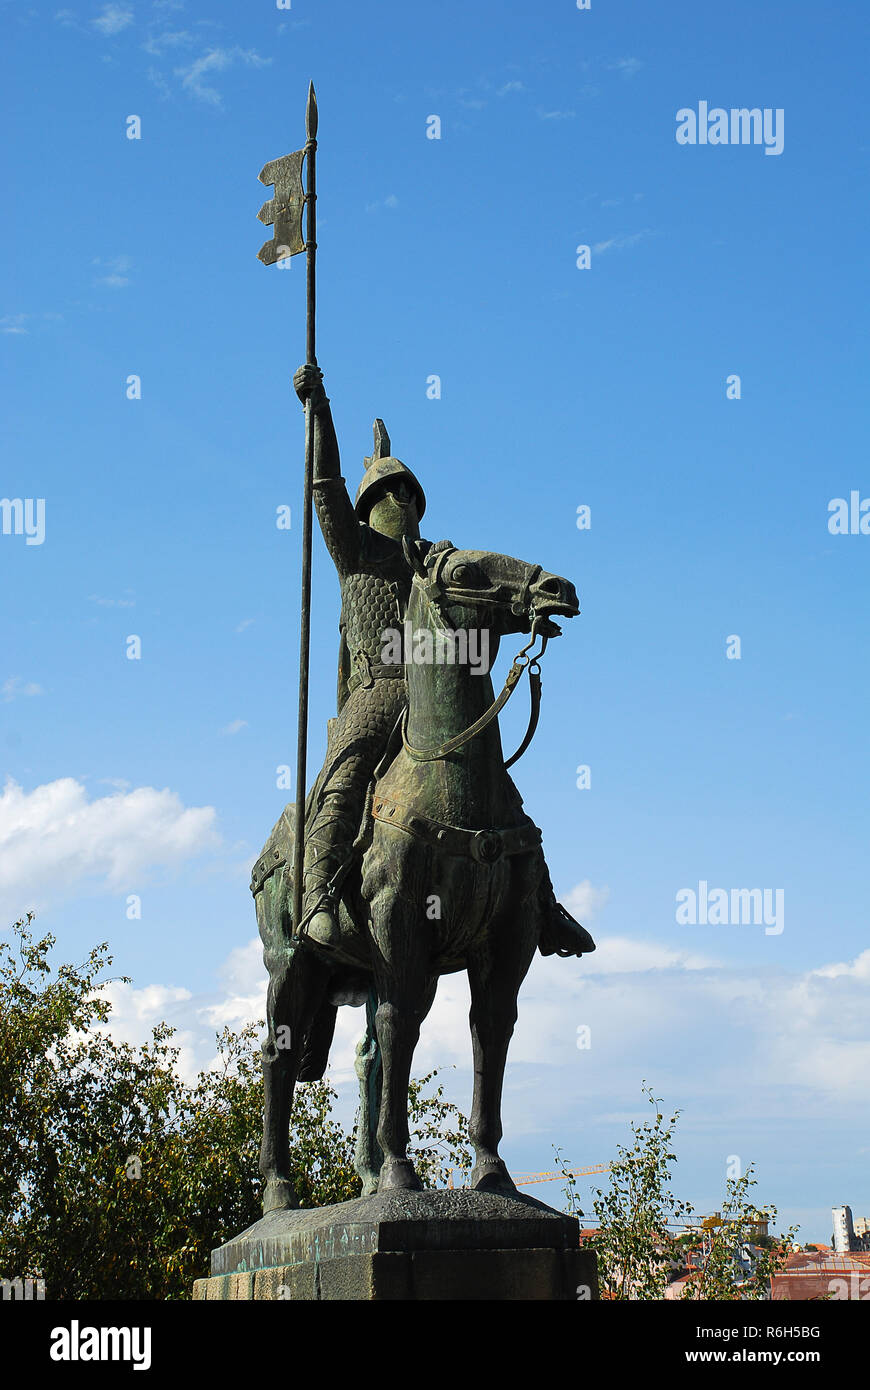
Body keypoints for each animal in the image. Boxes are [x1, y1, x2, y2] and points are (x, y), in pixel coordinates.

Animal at [250, 536, 575, 1212]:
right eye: (466, 569)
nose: (559, 589)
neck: (452, 778)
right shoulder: (399, 931)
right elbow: (400, 1030)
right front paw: (402, 1170)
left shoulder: (505, 946)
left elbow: (489, 1033)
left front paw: (491, 1170)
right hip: (291, 964)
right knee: (279, 1056)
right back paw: (280, 1190)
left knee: (364, 1056)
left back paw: (365, 1178)